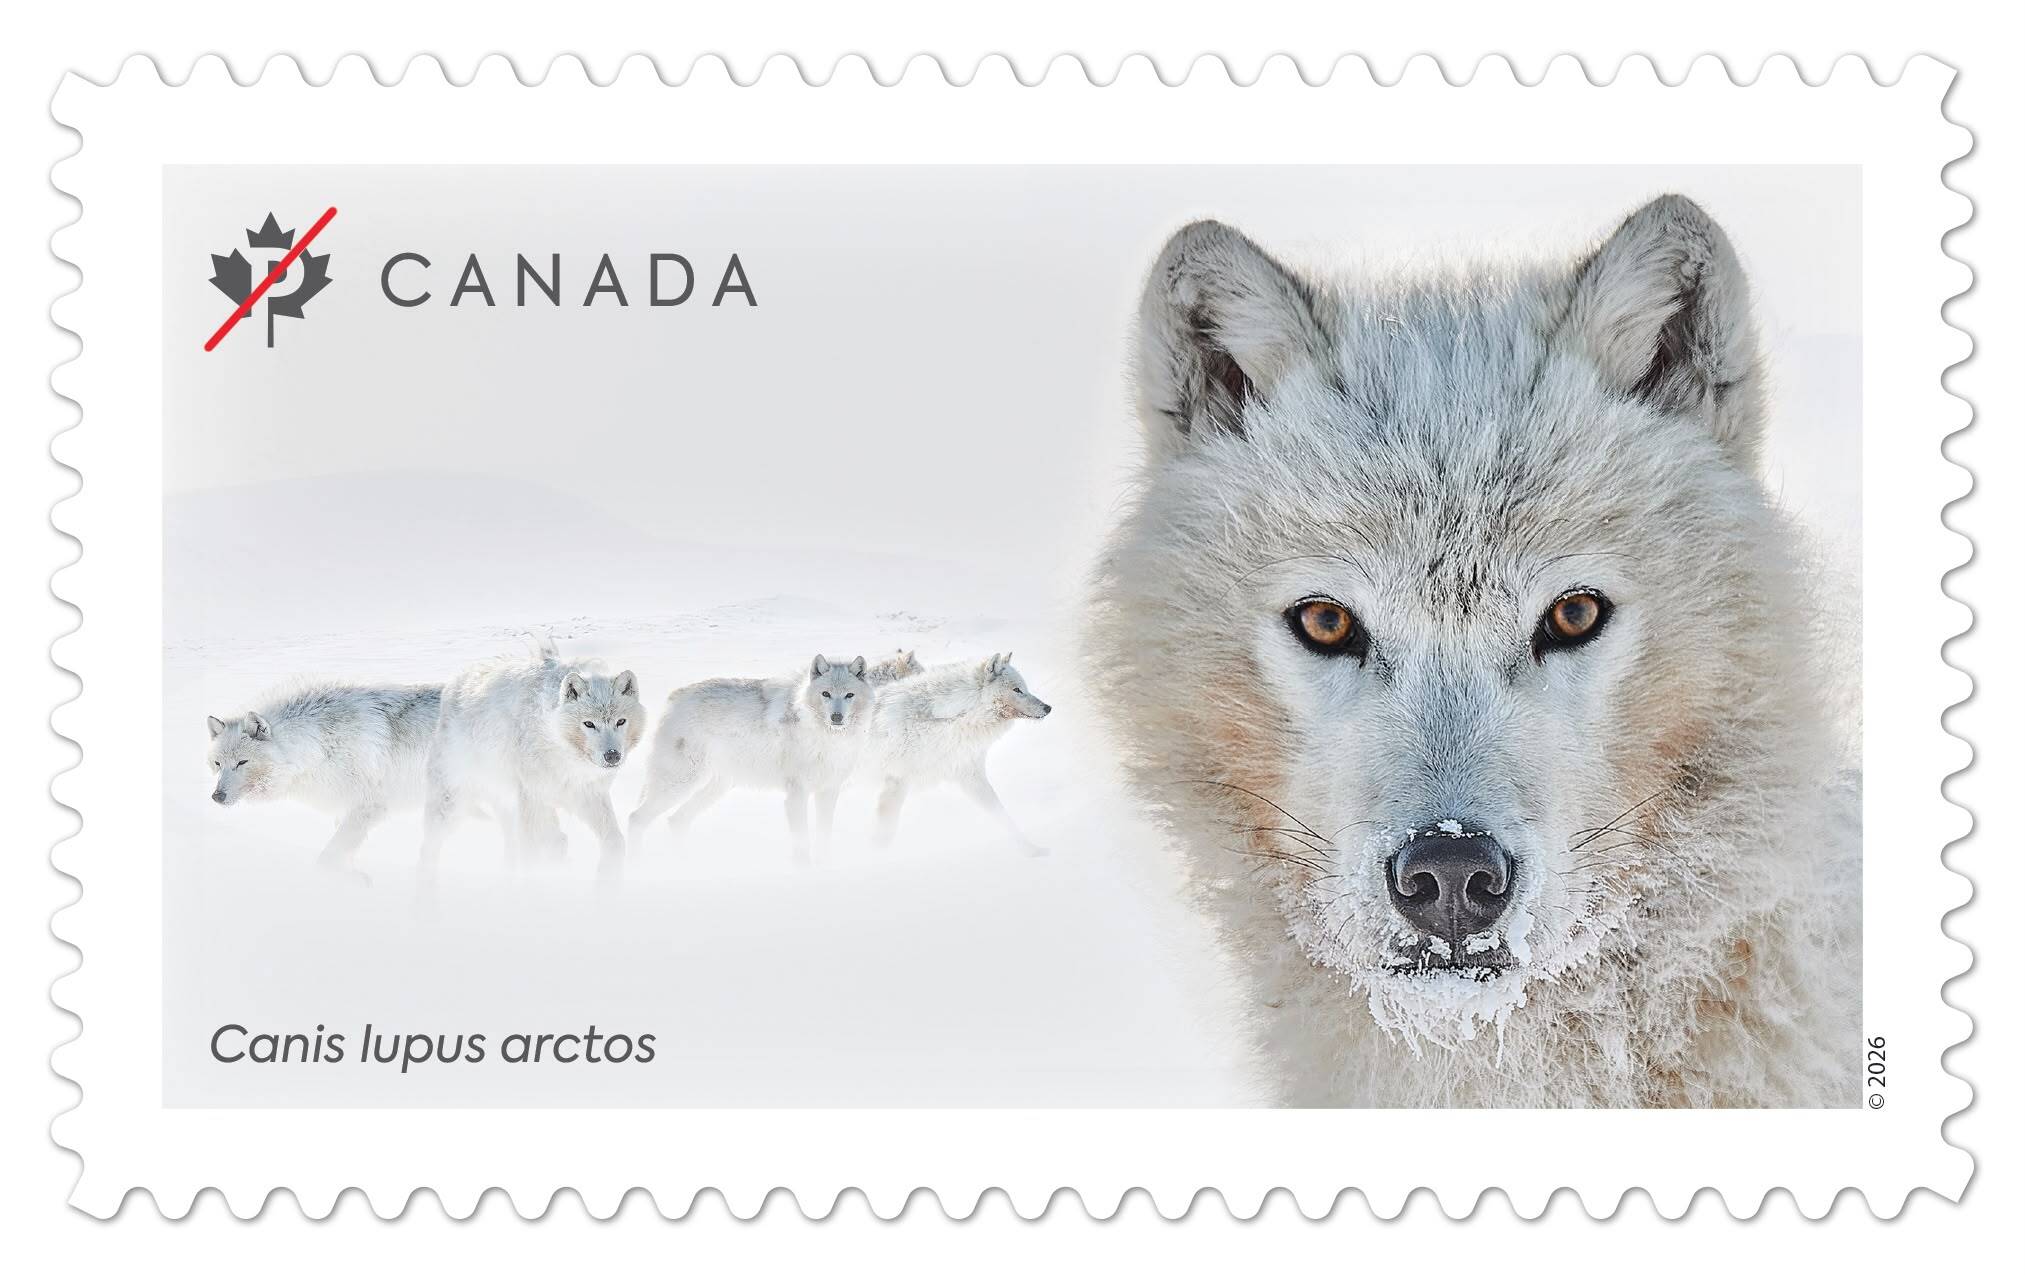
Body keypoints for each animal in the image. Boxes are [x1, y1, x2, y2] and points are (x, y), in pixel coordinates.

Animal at [206, 682, 442, 874]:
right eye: (218, 764)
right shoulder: (345, 807)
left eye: (242, 762)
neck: (319, 745)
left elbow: (328, 856)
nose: (217, 796)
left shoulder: (368, 806)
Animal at [418, 643, 644, 871]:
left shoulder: (587, 793)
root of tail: (453, 685)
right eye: (589, 724)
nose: (612, 756)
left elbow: (615, 841)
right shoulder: (534, 796)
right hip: (451, 804)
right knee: (428, 847)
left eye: (620, 721)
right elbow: (532, 853)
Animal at [628, 654, 875, 862]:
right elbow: (802, 842)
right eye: (826, 694)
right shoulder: (797, 794)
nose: (836, 717)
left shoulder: (829, 791)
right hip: (679, 784)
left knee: (676, 821)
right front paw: (803, 870)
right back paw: (637, 865)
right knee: (636, 819)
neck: (826, 738)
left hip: (715, 788)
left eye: (849, 695)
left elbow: (824, 837)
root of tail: (675, 695)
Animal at [867, 652, 1053, 854]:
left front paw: (1031, 849)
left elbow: (1003, 816)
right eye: (1017, 689)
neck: (946, 718)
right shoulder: (895, 783)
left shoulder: (971, 776)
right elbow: (884, 833)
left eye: (1023, 688)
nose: (1048, 708)